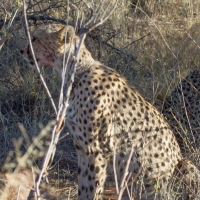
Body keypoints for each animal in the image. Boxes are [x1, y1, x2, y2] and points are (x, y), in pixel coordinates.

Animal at [19, 24, 198, 199]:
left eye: (35, 38)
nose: (21, 51)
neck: (75, 74)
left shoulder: (97, 149)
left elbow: (93, 188)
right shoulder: (82, 148)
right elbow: (84, 186)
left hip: (183, 165)